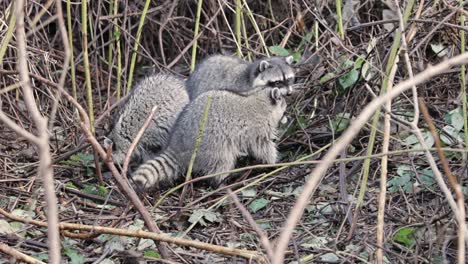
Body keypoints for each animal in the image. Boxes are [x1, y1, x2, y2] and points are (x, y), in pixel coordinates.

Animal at [130, 87, 288, 190]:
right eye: (283, 103)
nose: (288, 115)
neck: (261, 101)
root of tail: (177, 145)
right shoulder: (257, 128)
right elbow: (262, 146)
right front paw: (273, 161)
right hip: (212, 145)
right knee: (223, 161)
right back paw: (221, 181)